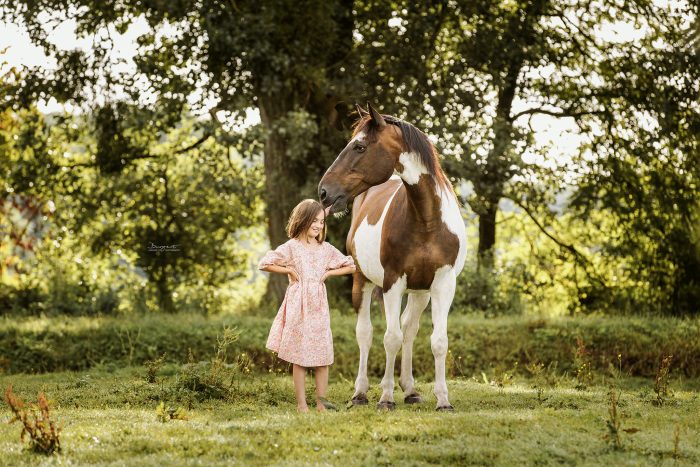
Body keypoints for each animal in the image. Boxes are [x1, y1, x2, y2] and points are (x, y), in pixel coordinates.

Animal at [320, 104, 468, 412]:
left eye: (360, 146)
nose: (324, 192)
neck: (426, 219)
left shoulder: (443, 285)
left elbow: (437, 341)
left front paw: (443, 400)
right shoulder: (392, 283)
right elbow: (390, 338)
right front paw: (386, 397)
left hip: (420, 292)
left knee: (409, 329)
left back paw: (410, 390)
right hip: (361, 281)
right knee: (365, 333)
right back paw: (361, 392)